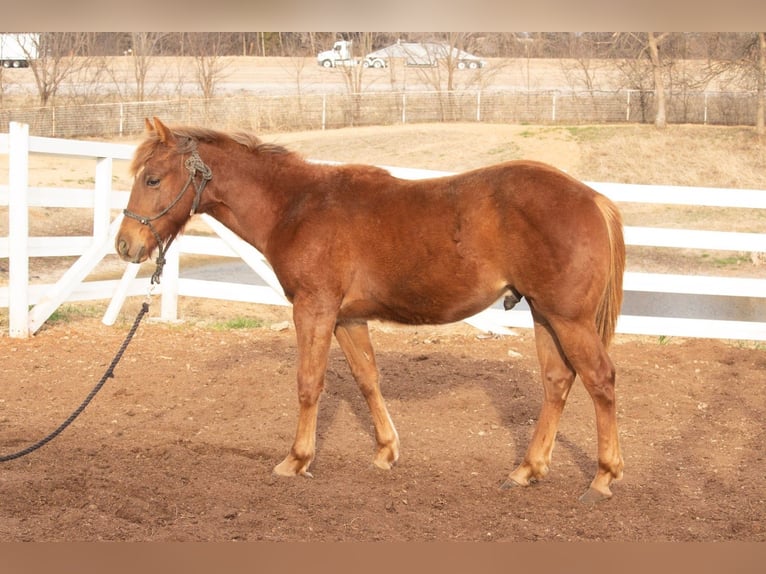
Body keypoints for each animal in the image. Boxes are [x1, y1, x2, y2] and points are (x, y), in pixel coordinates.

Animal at [116, 117, 626, 502]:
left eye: (152, 178)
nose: (125, 245)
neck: (295, 207)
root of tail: (593, 198)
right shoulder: (347, 317)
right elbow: (367, 378)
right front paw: (385, 451)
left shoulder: (315, 309)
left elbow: (309, 383)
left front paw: (296, 459)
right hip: (544, 315)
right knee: (557, 382)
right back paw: (527, 470)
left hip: (568, 319)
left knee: (599, 380)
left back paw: (603, 477)